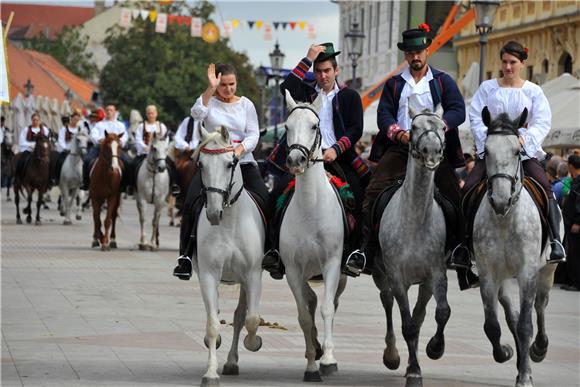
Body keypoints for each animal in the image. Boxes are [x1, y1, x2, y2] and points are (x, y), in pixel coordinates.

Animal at [195, 125, 268, 387]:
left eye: (230, 164)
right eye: (201, 165)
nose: (213, 213)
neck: (228, 221)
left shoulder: (253, 275)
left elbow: (251, 319)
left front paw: (253, 343)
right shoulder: (208, 274)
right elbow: (212, 325)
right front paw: (210, 373)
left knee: (239, 317)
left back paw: (232, 362)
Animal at [374, 104, 450, 387]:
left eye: (443, 127)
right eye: (414, 127)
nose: (432, 152)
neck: (415, 219)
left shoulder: (435, 274)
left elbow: (439, 313)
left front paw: (434, 349)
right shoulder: (397, 276)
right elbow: (406, 324)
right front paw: (413, 370)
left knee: (420, 314)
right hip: (381, 272)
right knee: (387, 302)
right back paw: (392, 355)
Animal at [474, 107, 560, 387]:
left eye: (516, 151)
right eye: (487, 151)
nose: (500, 200)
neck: (505, 219)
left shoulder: (528, 272)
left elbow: (526, 325)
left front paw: (525, 376)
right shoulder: (488, 274)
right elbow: (492, 325)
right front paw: (505, 353)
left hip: (547, 271)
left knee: (540, 307)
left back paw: (539, 349)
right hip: (504, 279)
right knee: (510, 315)